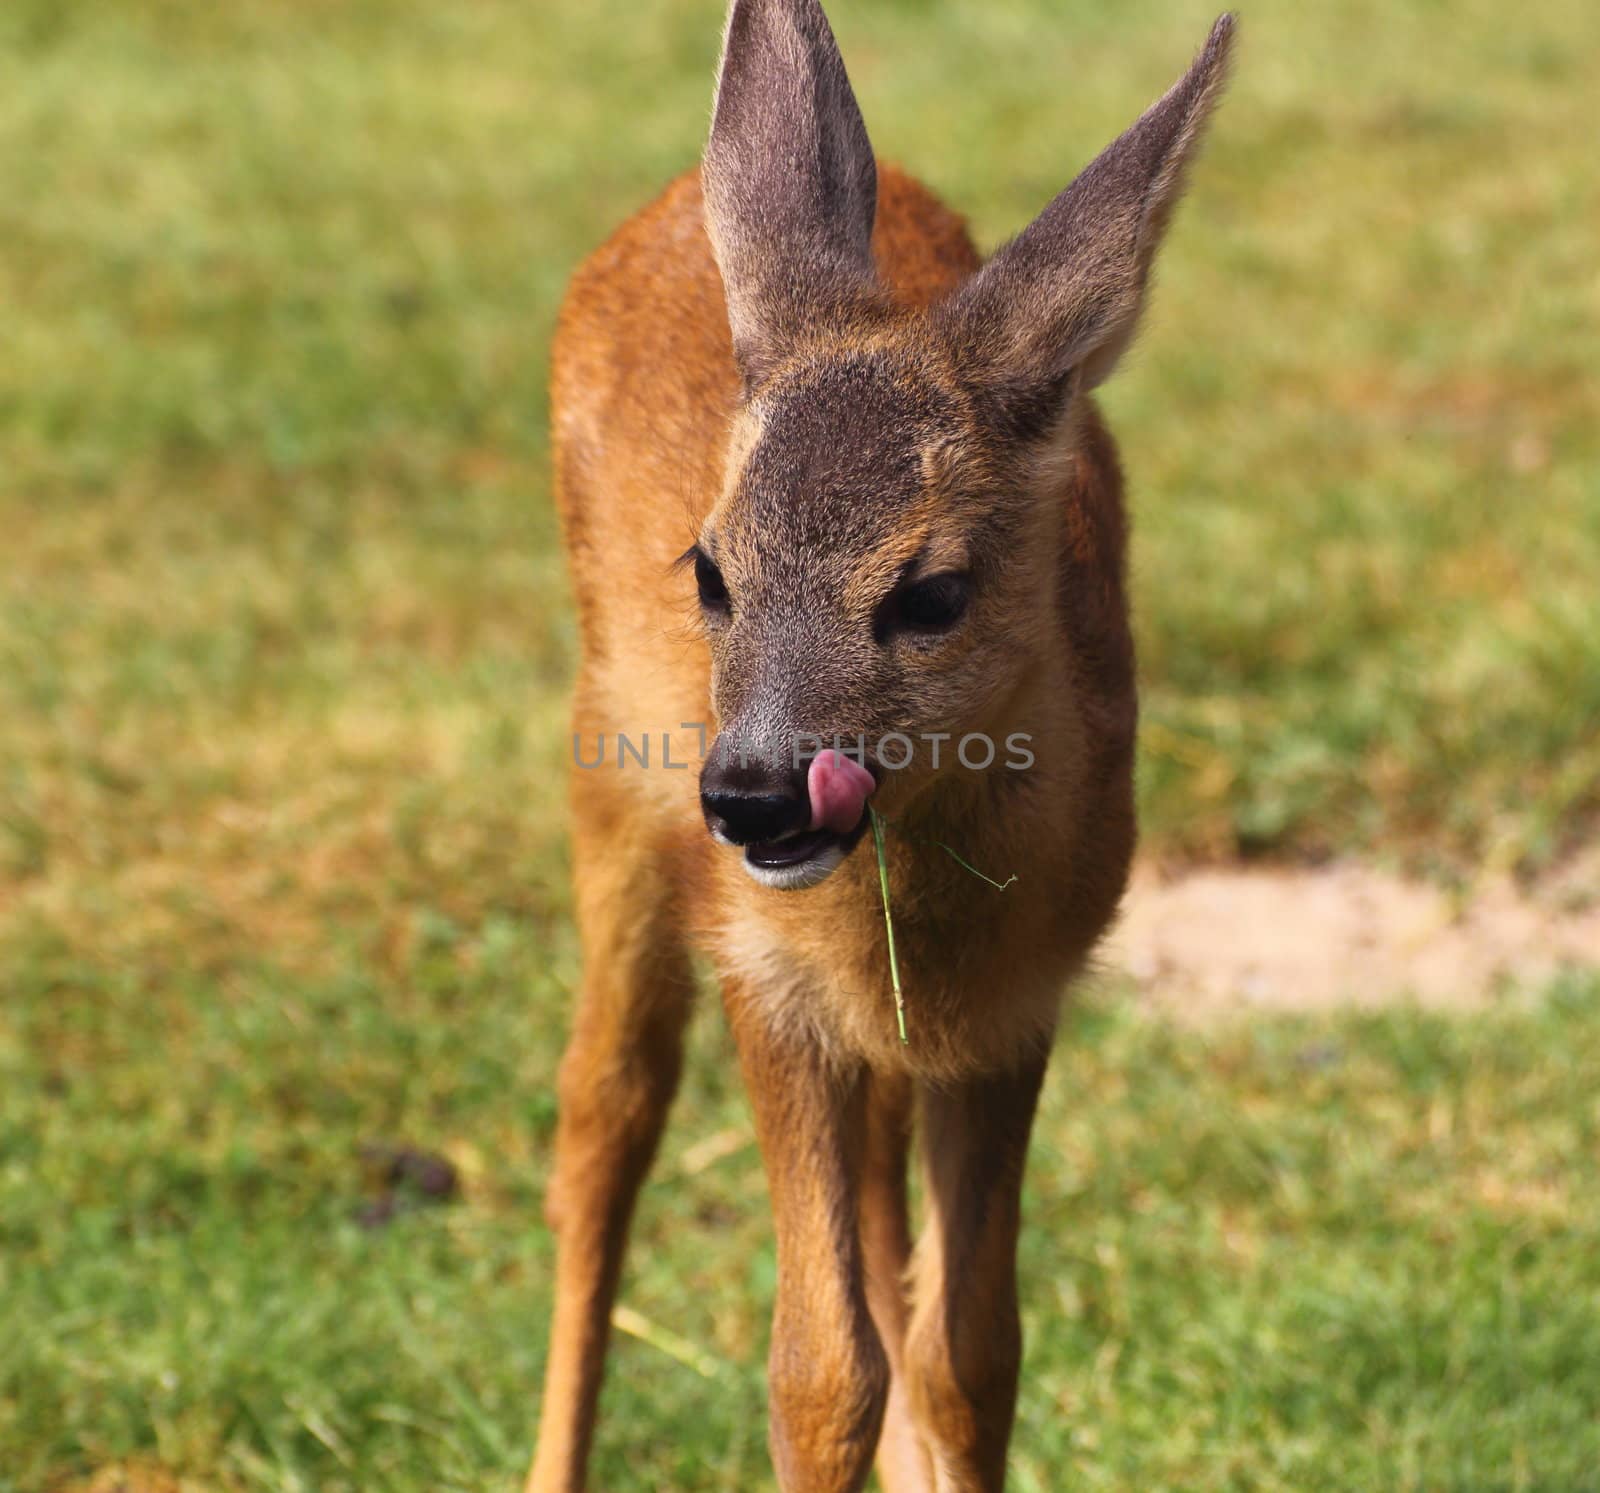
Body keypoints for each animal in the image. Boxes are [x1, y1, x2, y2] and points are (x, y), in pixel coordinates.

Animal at [531, 5, 1228, 1484]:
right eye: (710, 570)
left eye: (933, 592)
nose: (751, 792)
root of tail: (671, 202)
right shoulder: (763, 969)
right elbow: (814, 1368)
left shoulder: (1019, 1003)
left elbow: (969, 1355)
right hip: (606, 795)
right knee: (600, 1122)